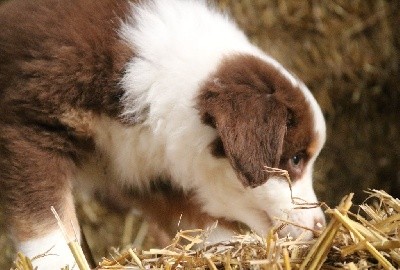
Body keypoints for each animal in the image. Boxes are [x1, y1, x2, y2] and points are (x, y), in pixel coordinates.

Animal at [0, 0, 324, 266]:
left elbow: (202, 223)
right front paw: (58, 262)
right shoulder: (30, 129)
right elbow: (47, 225)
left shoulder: (144, 170)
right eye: (296, 159)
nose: (320, 227)